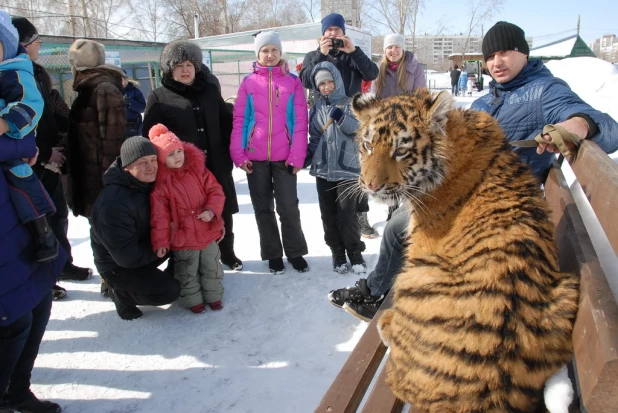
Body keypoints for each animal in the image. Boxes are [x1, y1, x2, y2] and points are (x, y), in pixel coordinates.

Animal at [352, 87, 576, 412]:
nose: (370, 186)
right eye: (368, 146)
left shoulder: (421, 244)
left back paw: (387, 321)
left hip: (414, 275)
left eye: (401, 152)